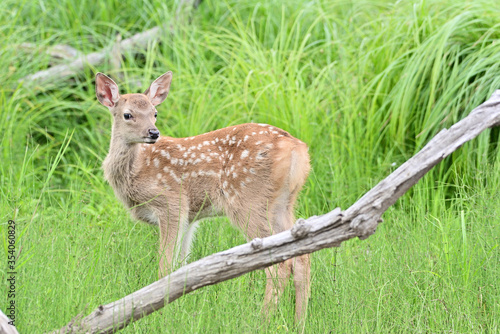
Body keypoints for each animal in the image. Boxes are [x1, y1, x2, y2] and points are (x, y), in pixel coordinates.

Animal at [95, 72, 310, 320]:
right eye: (128, 114)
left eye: (155, 113)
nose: (153, 132)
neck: (136, 171)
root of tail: (297, 149)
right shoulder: (189, 217)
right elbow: (180, 268)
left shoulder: (172, 202)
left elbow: (165, 267)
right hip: (283, 203)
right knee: (301, 256)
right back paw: (299, 321)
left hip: (247, 201)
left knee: (279, 263)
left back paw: (263, 319)